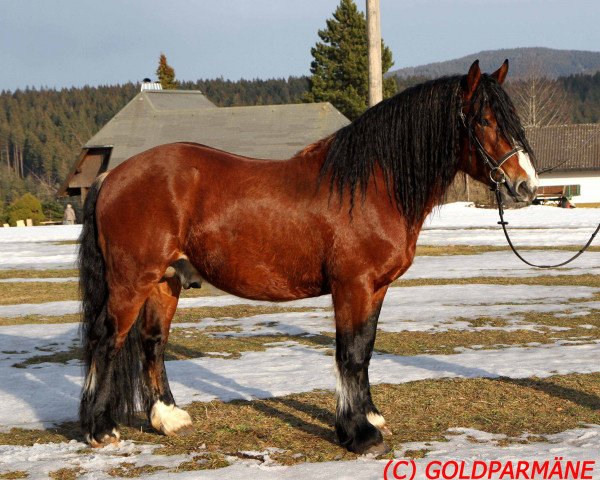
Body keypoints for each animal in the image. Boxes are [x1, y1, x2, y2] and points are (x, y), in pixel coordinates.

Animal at [78, 62, 540, 456]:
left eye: (512, 119)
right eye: (483, 121)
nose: (525, 186)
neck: (371, 186)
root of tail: (112, 176)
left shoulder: (376, 288)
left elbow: (366, 350)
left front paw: (371, 417)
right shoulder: (353, 285)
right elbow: (349, 353)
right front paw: (359, 435)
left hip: (166, 280)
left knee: (152, 342)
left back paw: (169, 418)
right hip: (132, 281)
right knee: (108, 339)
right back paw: (100, 429)